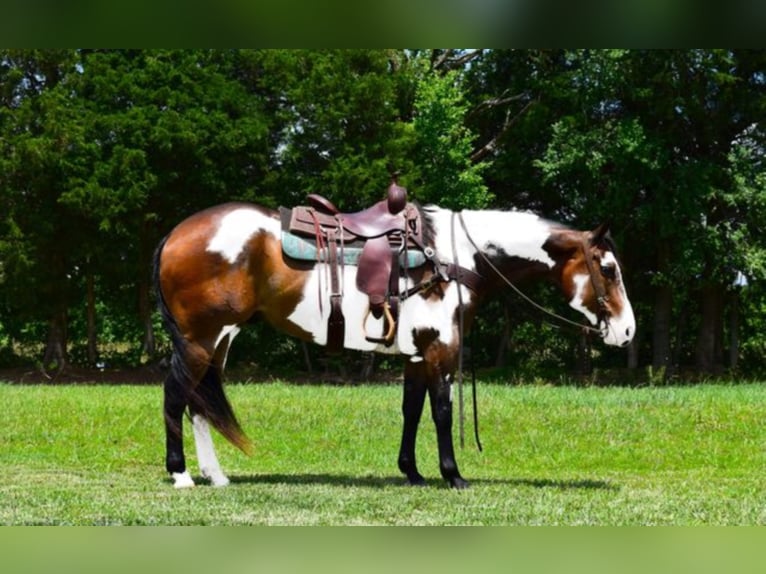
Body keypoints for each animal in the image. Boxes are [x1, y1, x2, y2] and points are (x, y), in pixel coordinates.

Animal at [154, 183, 636, 490]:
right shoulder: (441, 349)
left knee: (199, 402)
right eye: (608, 269)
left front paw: (413, 472)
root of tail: (175, 233)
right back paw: (181, 474)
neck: (456, 256)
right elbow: (441, 411)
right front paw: (452, 475)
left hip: (218, 340)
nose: (628, 330)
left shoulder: (417, 354)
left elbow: (412, 411)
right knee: (176, 396)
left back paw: (215, 475)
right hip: (200, 340)